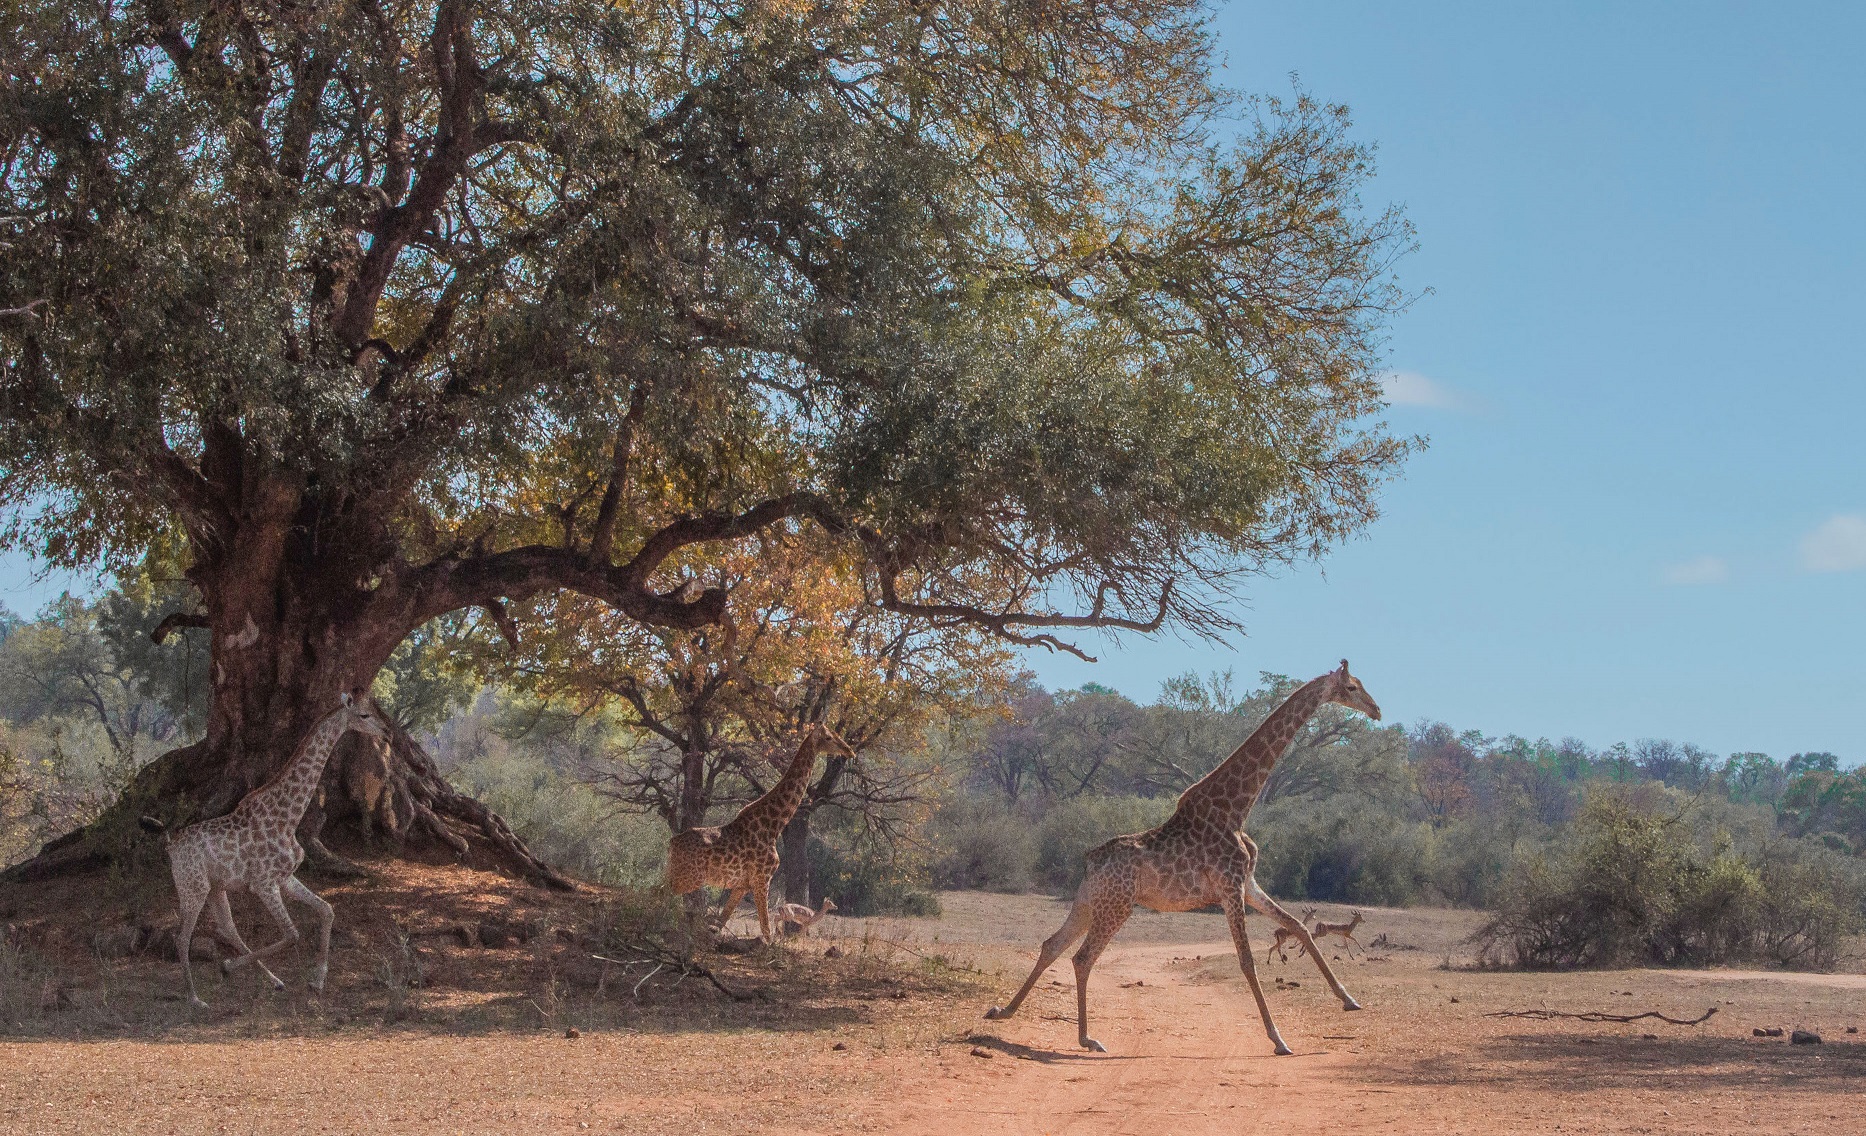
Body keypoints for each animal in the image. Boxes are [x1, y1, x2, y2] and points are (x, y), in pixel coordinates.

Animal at [140, 692, 389, 1008]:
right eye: (364, 715)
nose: (387, 733)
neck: (287, 818)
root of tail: (171, 845)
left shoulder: (285, 878)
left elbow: (327, 910)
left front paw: (317, 981)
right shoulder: (263, 883)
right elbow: (292, 934)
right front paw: (229, 967)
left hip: (215, 887)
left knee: (228, 928)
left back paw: (273, 980)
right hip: (192, 887)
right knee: (183, 937)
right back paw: (195, 998)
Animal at [665, 723, 856, 943]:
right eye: (828, 738)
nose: (849, 750)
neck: (774, 825)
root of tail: (672, 843)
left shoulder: (742, 885)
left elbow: (722, 921)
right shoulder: (762, 879)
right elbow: (766, 930)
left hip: (677, 874)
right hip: (689, 878)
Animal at [984, 660, 1381, 1055]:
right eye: (1352, 687)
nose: (1377, 710)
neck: (1235, 810)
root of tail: (1090, 861)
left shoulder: (1248, 884)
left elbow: (1299, 926)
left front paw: (1349, 1000)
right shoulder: (1230, 887)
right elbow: (1247, 960)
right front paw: (1278, 1039)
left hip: (1089, 901)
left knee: (1052, 944)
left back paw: (1004, 1011)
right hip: (1118, 906)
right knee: (1082, 957)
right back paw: (1086, 1038)